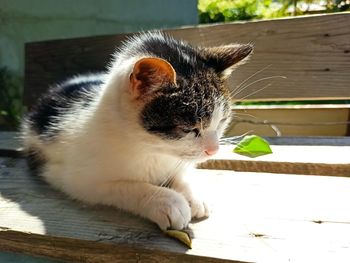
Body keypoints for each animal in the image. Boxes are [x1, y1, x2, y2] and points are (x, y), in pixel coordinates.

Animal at [21, 32, 252, 231]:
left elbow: (179, 174)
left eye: (222, 121)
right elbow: (127, 186)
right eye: (190, 129)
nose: (214, 150)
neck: (151, 147)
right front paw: (167, 201)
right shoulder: (74, 178)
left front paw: (193, 194)